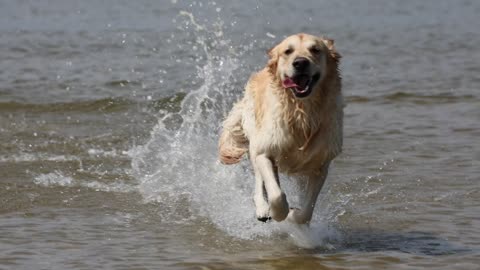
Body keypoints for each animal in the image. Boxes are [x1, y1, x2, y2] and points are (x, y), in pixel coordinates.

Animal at [218, 33, 342, 224]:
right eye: (288, 51)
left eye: (315, 49)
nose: (300, 63)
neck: (302, 111)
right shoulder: (264, 151)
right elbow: (276, 194)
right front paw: (279, 212)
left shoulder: (320, 164)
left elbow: (307, 211)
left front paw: (294, 215)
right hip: (255, 142)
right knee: (260, 182)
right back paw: (262, 208)